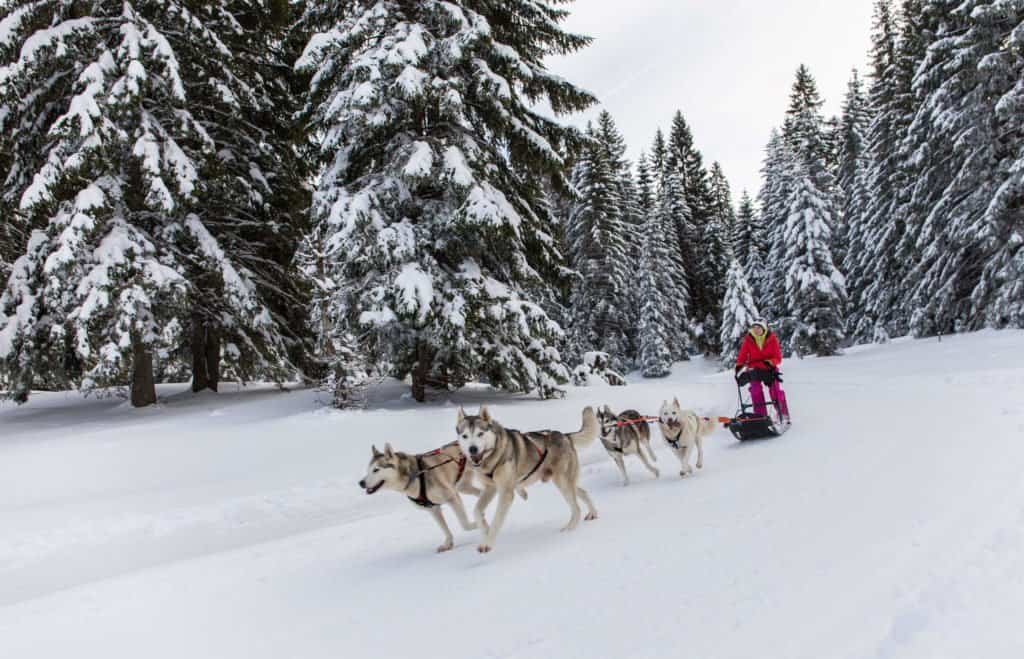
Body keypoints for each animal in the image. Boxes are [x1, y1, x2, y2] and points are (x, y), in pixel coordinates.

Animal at [456, 407, 598, 552]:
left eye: (480, 434)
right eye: (465, 436)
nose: (472, 449)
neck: (492, 458)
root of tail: (565, 436)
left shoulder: (506, 493)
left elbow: (497, 520)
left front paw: (487, 543)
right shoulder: (490, 489)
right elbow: (476, 511)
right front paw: (485, 529)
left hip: (562, 482)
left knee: (576, 509)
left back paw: (568, 530)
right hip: (564, 482)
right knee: (583, 492)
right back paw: (592, 513)